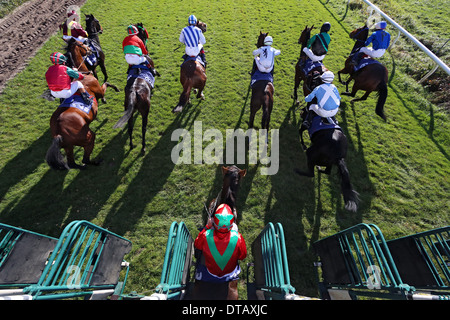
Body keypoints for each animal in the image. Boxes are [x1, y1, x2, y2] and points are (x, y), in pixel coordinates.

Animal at [46, 38, 118, 170]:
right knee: (85, 158)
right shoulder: (99, 90)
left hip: (68, 146)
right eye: (82, 44)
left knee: (72, 163)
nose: (90, 50)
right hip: (87, 137)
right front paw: (114, 90)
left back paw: (82, 166)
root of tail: (58, 132)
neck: (83, 73)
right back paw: (96, 162)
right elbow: (106, 84)